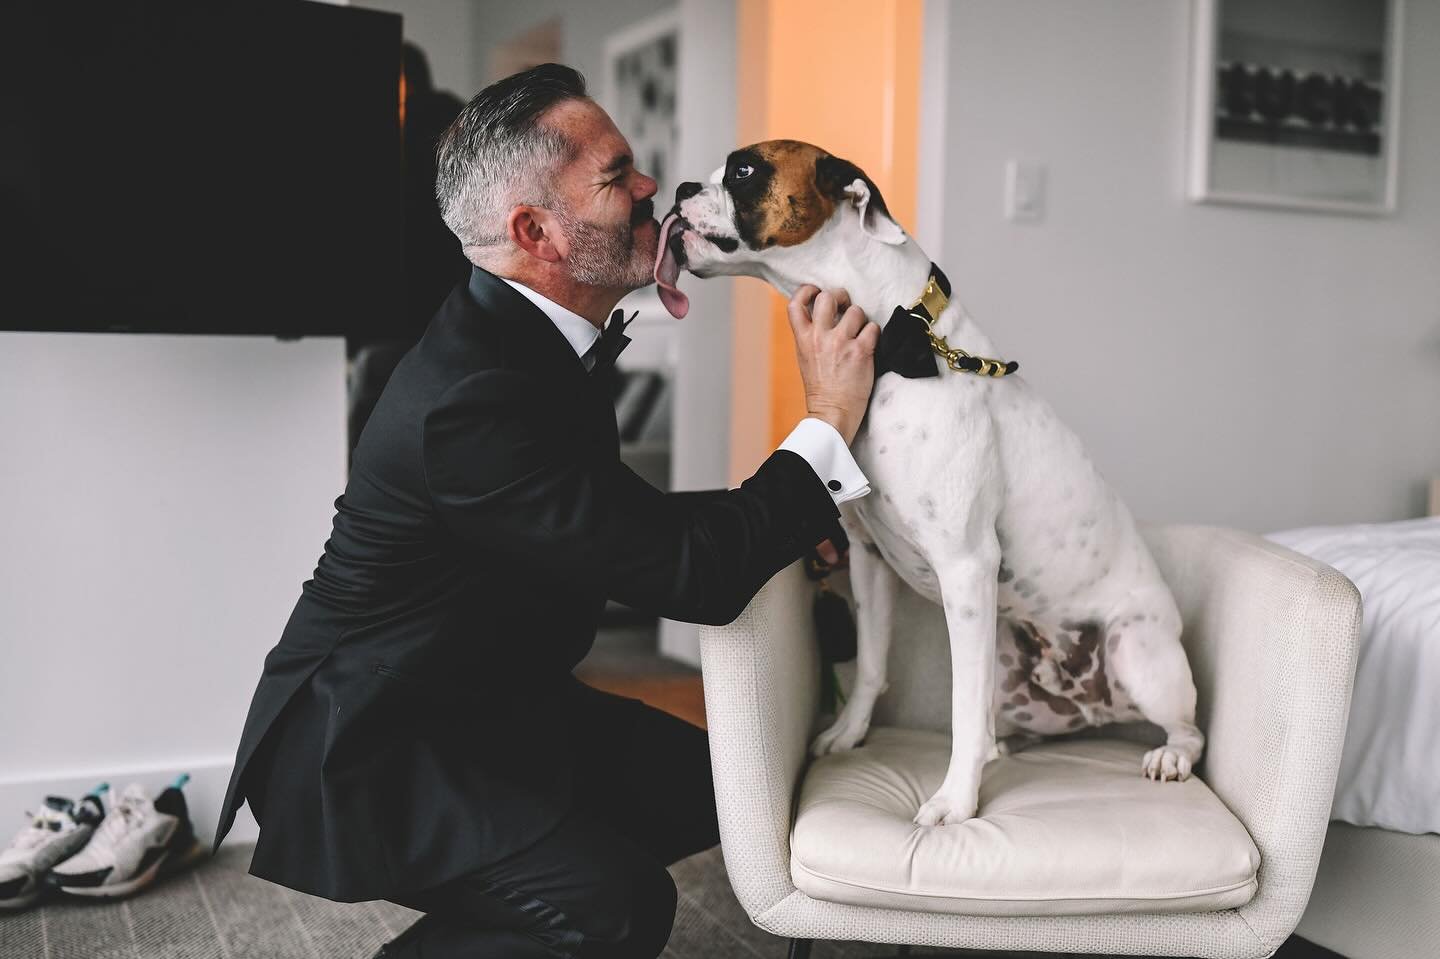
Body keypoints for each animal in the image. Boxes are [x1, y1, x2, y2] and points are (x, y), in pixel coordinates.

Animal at [653, 140, 1203, 823]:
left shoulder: (965, 567)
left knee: (1189, 729)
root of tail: (1092, 704)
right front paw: (848, 734)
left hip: (1134, 653)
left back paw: (1169, 755)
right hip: (1009, 668)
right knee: (1004, 719)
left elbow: (961, 711)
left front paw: (954, 802)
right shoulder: (868, 560)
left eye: (744, 171)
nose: (678, 189)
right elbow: (871, 665)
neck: (898, 342)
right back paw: (1006, 746)